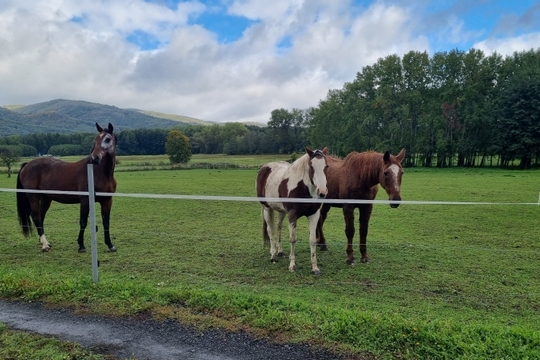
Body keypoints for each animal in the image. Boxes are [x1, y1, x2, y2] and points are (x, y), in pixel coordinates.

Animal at [16, 124, 117, 253]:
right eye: (96, 139)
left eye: (107, 139)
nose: (95, 158)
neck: (99, 173)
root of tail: (27, 165)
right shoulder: (85, 201)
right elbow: (83, 222)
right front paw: (81, 245)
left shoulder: (107, 201)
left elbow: (106, 223)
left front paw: (110, 245)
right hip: (33, 197)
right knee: (37, 217)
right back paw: (45, 245)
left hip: (46, 199)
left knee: (41, 217)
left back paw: (44, 242)